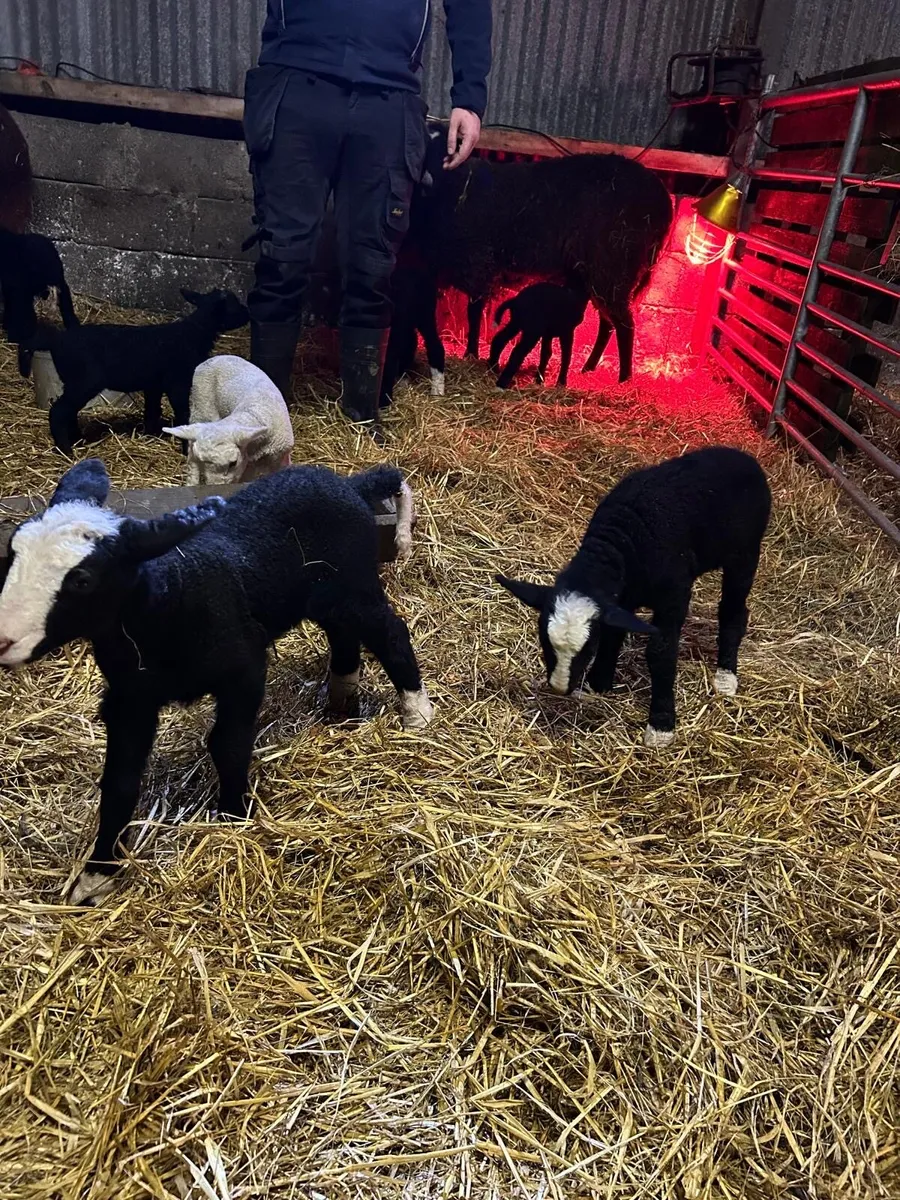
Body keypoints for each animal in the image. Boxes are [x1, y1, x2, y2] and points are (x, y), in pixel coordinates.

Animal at [0, 458, 432, 905]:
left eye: (82, 580)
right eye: (11, 552)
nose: (2, 640)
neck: (174, 593)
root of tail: (349, 483)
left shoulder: (243, 670)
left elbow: (228, 745)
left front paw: (233, 815)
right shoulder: (130, 698)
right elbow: (119, 782)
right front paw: (95, 876)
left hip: (353, 582)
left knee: (390, 633)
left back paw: (416, 712)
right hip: (323, 594)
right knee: (343, 634)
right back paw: (341, 703)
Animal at [26, 288, 249, 457]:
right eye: (235, 304)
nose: (248, 311)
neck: (195, 333)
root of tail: (56, 342)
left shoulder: (154, 384)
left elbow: (152, 410)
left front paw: (151, 434)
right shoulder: (178, 381)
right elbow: (182, 412)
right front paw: (185, 447)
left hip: (73, 382)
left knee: (69, 411)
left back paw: (78, 440)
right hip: (85, 382)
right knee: (59, 410)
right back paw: (65, 450)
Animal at [163, 355, 295, 486]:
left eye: (233, 463)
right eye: (204, 464)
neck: (253, 414)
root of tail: (213, 358)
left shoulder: (278, 457)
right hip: (201, 408)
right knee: (191, 452)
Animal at [409, 134, 674, 381]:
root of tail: (663, 202)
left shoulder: (478, 263)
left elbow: (474, 314)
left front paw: (471, 354)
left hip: (613, 267)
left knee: (624, 325)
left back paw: (624, 379)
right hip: (602, 275)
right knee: (608, 323)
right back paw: (588, 369)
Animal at [497, 446, 771, 748]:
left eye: (587, 648)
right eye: (544, 641)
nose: (559, 687)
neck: (620, 543)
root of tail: (743, 455)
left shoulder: (673, 596)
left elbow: (661, 652)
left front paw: (661, 725)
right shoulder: (619, 601)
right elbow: (613, 633)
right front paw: (598, 683)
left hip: (745, 553)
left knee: (734, 611)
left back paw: (725, 676)